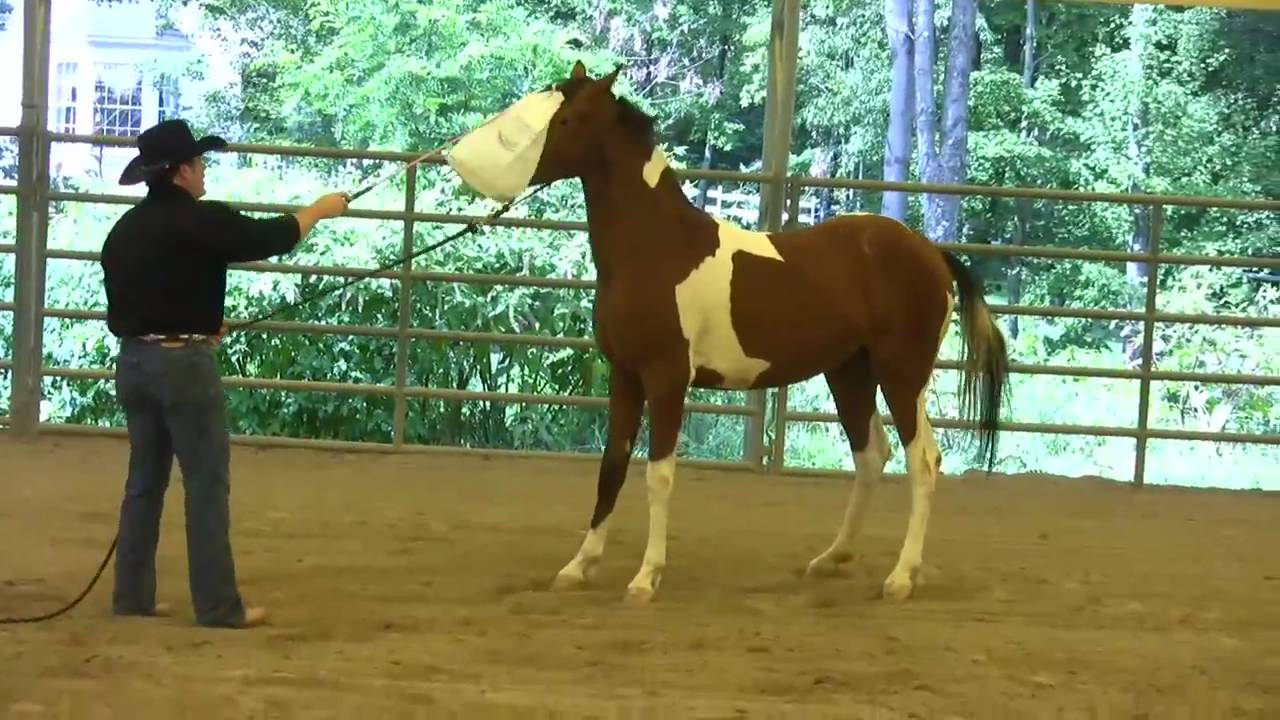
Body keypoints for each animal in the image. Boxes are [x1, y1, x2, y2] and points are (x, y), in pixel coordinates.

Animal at [445, 61, 1011, 604]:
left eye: (567, 120)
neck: (656, 248)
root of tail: (931, 252)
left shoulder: (667, 379)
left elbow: (659, 475)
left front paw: (645, 578)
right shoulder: (625, 377)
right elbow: (612, 468)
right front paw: (577, 567)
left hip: (902, 375)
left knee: (923, 463)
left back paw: (901, 578)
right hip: (849, 374)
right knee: (872, 456)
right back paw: (832, 558)